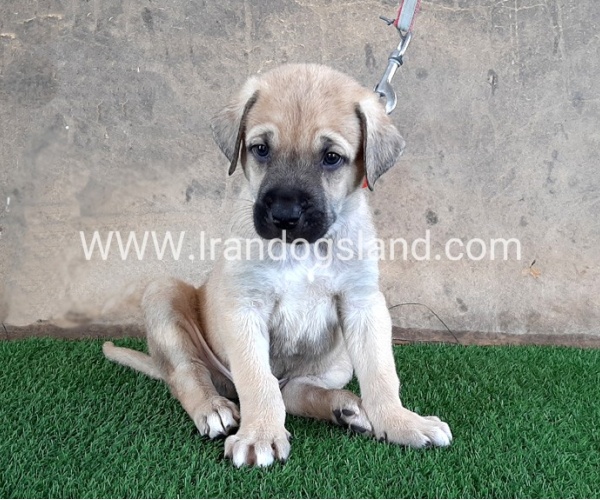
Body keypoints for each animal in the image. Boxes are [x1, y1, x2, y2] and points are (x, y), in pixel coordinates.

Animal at [103, 64, 452, 467]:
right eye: (261, 149)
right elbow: (257, 380)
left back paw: (345, 408)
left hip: (337, 362)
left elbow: (381, 373)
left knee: (294, 391)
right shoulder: (245, 307)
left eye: (331, 157)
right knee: (188, 373)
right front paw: (259, 435)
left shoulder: (363, 303)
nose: (285, 214)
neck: (302, 250)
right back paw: (212, 407)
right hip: (163, 295)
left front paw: (401, 422)